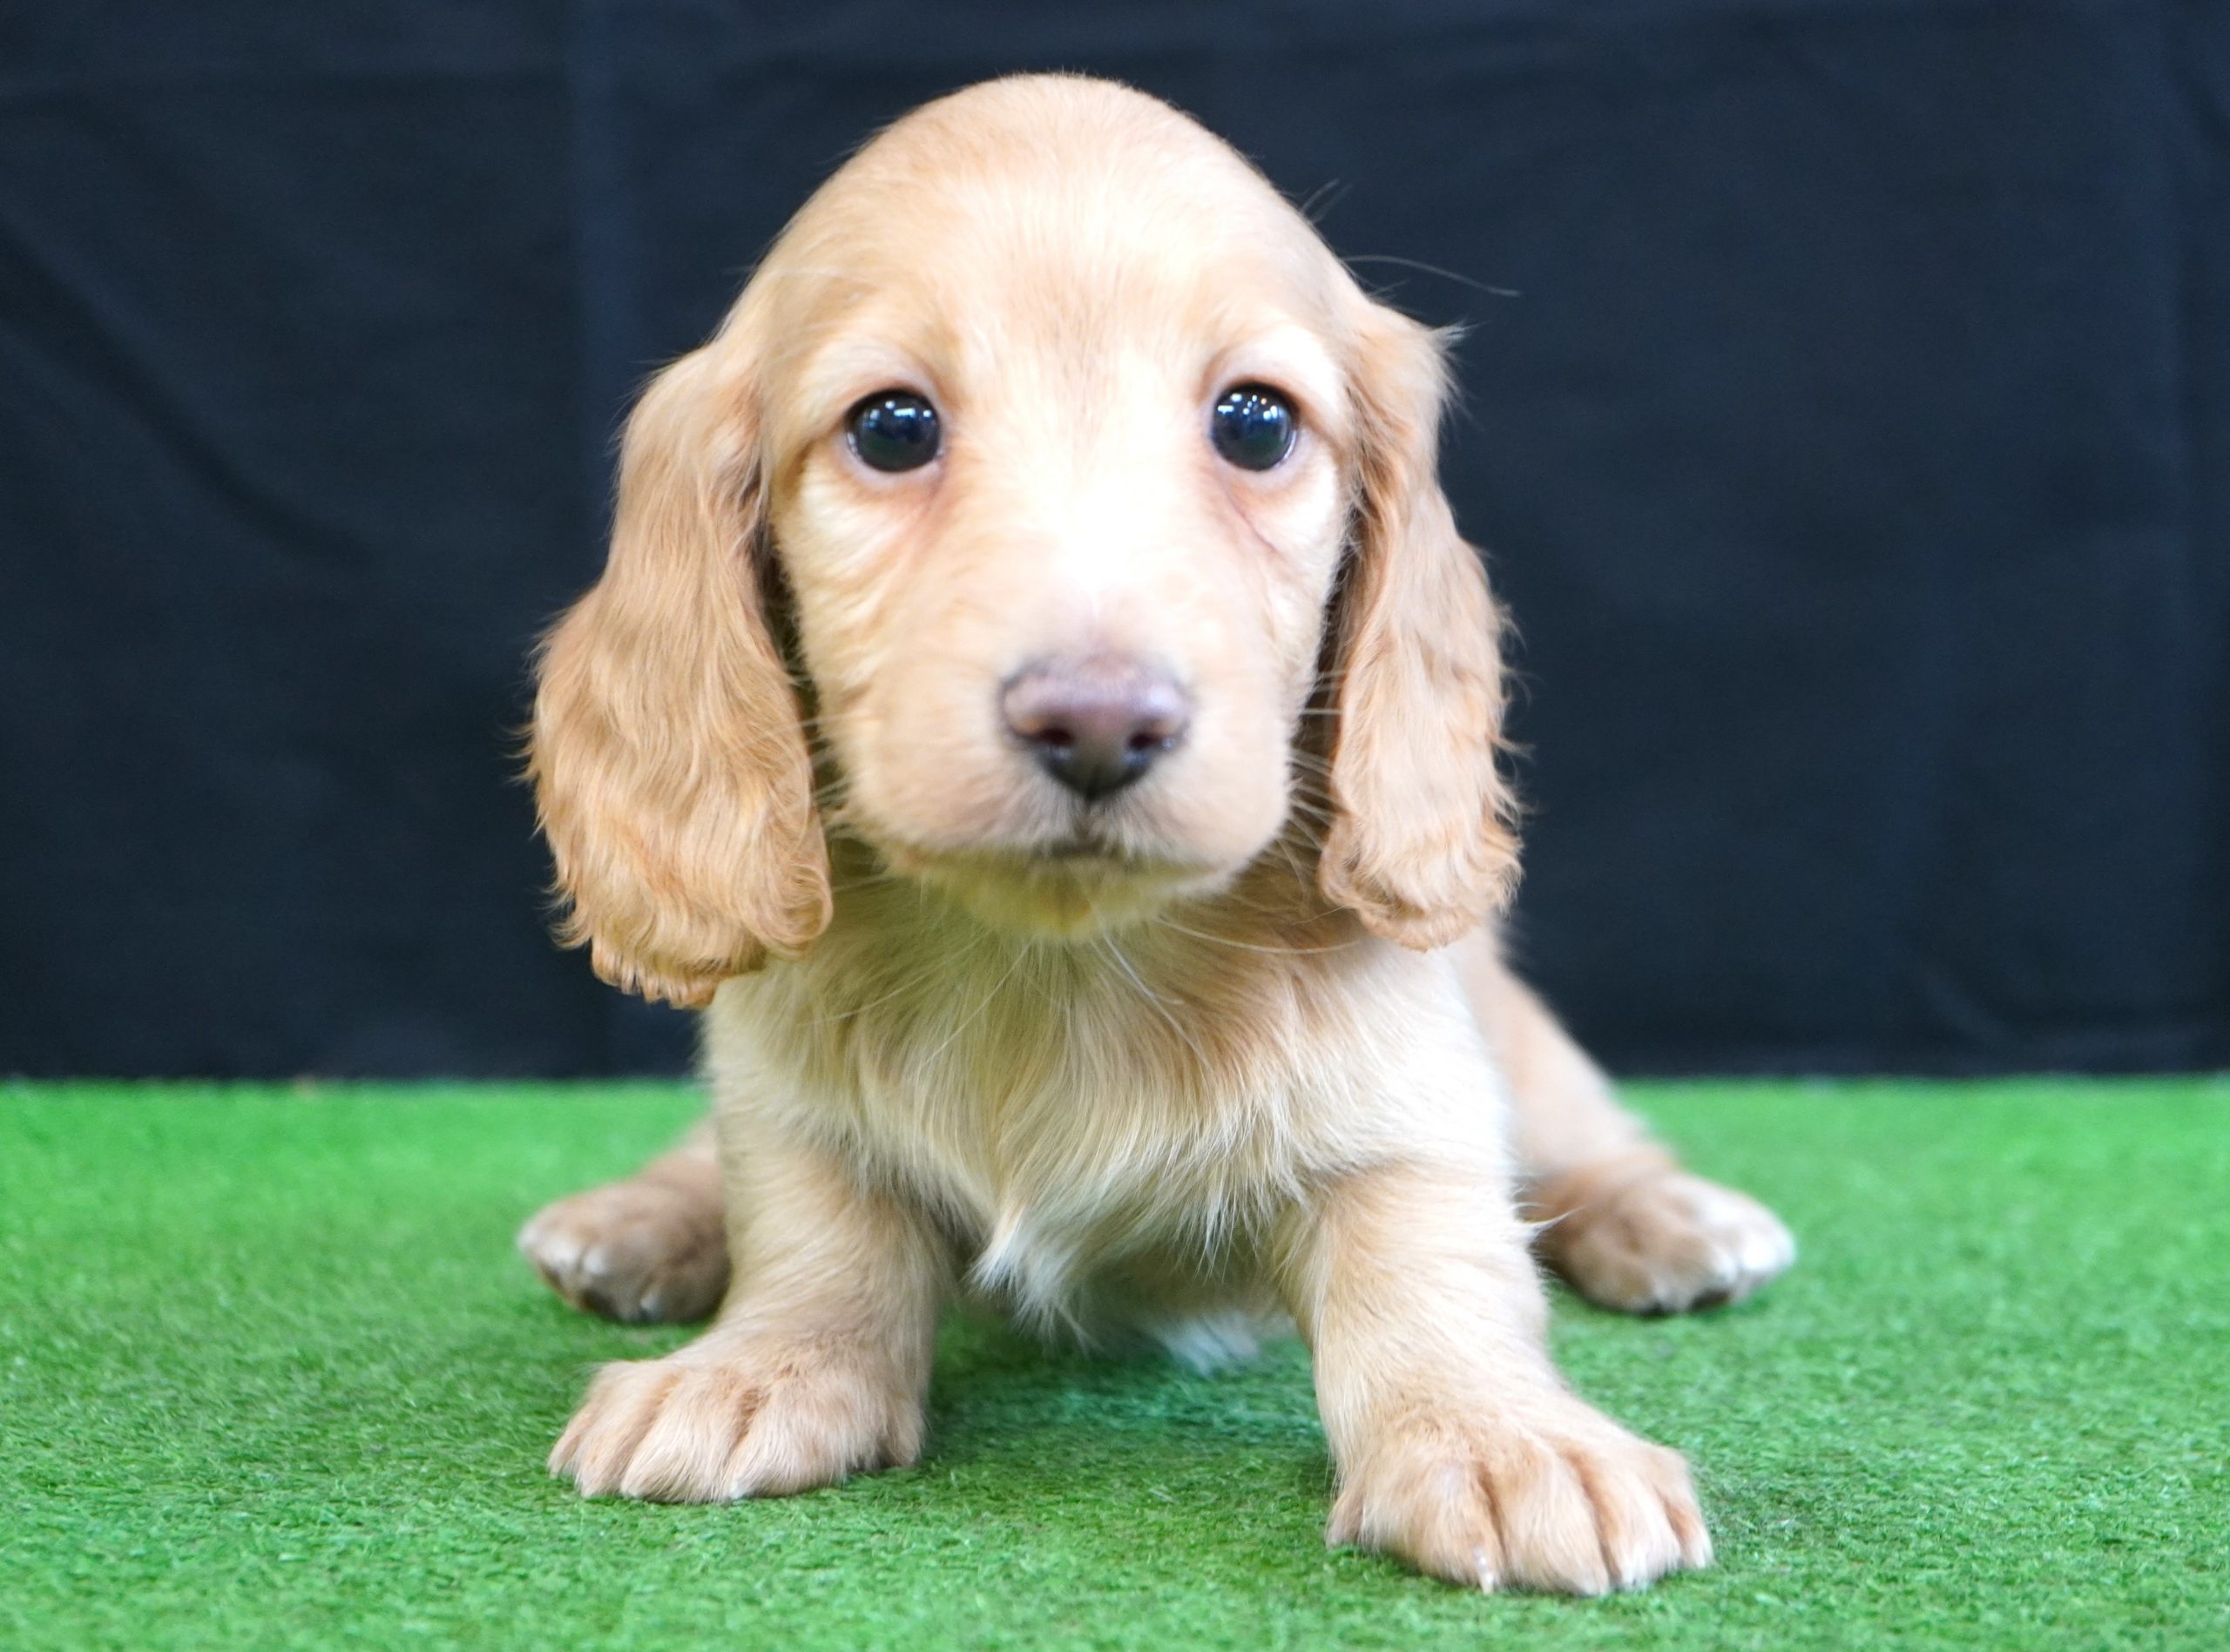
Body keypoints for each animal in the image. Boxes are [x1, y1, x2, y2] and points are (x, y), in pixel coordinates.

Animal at [517, 73, 1794, 1595]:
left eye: (1254, 423)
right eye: (892, 428)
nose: (1097, 722)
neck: (1062, 969)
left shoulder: (1411, 1108)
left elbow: (1435, 1257)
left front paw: (1499, 1437)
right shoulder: (786, 1090)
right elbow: (814, 1227)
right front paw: (759, 1364)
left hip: (1524, 1051)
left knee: (1586, 1141)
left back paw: (1670, 1217)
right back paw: (638, 1217)